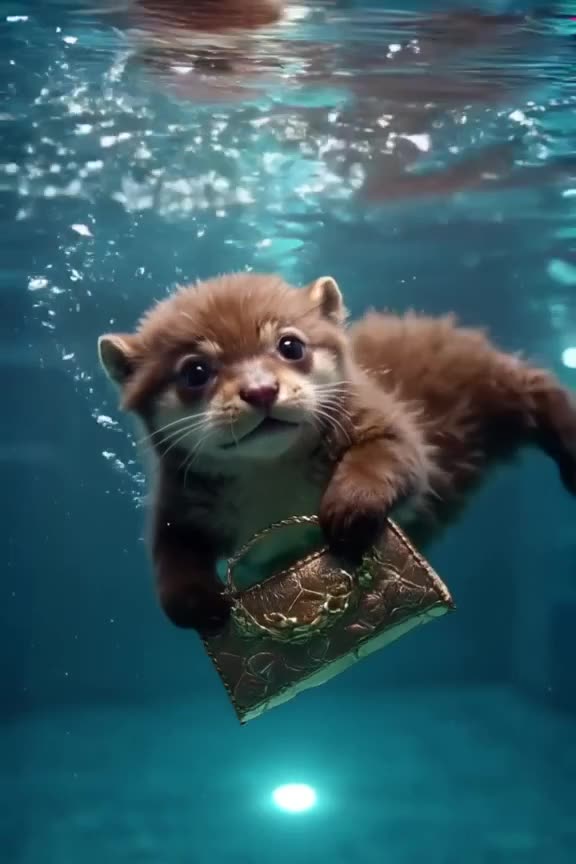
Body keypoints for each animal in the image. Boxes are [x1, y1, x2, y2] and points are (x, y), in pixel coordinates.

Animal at [98, 273, 576, 633]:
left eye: (290, 345)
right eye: (195, 371)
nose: (260, 390)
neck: (271, 478)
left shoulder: (383, 421)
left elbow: (390, 458)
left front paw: (350, 507)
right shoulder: (178, 499)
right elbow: (169, 551)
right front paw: (196, 601)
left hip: (489, 384)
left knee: (536, 384)